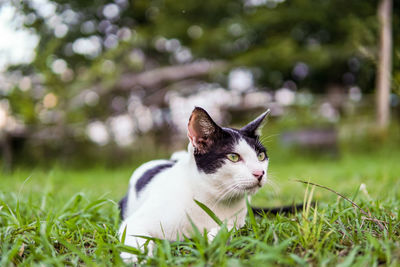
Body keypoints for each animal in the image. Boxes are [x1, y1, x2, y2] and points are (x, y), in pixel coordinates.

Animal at [117, 107, 270, 262]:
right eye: (233, 157)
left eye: (261, 156)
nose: (260, 173)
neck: (210, 197)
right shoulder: (135, 223)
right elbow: (134, 238)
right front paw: (137, 257)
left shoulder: (239, 222)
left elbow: (229, 229)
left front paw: (216, 236)